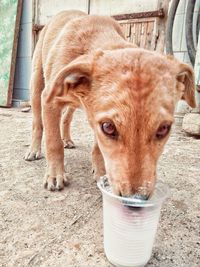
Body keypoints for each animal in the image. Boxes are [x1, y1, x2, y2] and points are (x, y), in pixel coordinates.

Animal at [25, 10, 195, 198]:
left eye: (164, 128)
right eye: (108, 127)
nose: (135, 199)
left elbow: (98, 149)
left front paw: (100, 172)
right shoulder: (50, 100)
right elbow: (53, 142)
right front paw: (55, 175)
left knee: (66, 118)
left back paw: (67, 139)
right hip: (37, 87)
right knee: (37, 123)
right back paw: (34, 150)